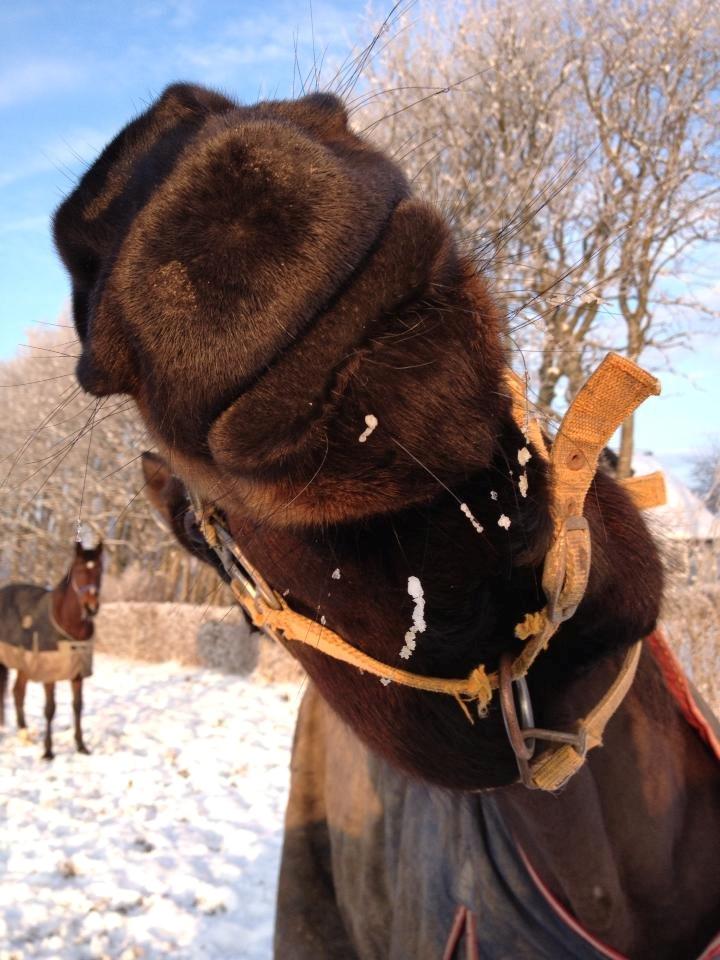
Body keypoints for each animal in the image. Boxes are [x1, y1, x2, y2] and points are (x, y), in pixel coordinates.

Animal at [0, 540, 102, 756]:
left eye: (99, 569)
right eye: (79, 569)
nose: (91, 607)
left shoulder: (77, 674)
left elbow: (78, 706)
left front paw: (81, 746)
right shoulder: (49, 674)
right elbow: (50, 709)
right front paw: (48, 752)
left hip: (23, 664)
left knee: (17, 693)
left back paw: (24, 733)